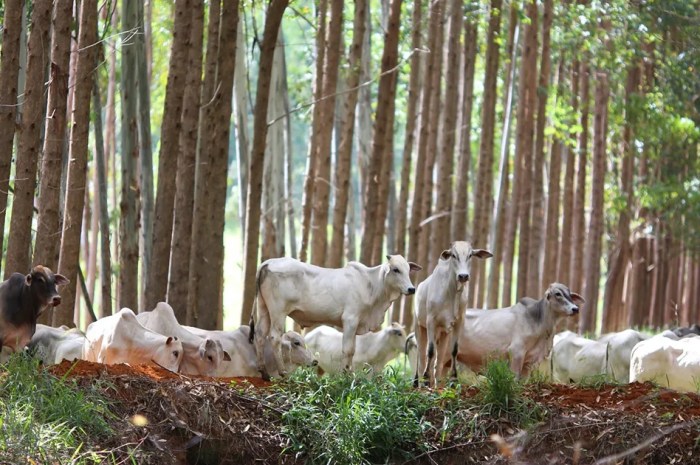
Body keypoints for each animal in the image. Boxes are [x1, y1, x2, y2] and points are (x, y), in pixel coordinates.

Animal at [253, 256, 422, 378]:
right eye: (396, 269)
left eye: (408, 270)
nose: (411, 289)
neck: (371, 285)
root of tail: (267, 263)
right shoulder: (350, 319)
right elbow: (347, 350)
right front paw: (345, 375)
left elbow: (352, 350)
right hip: (278, 311)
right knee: (274, 337)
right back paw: (282, 371)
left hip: (264, 309)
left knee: (260, 335)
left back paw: (264, 371)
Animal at [410, 241, 492, 386]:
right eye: (454, 255)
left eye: (470, 255)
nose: (463, 276)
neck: (451, 293)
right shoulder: (431, 322)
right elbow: (430, 351)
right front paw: (426, 378)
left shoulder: (458, 323)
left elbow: (454, 350)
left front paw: (453, 378)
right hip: (419, 327)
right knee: (421, 353)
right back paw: (419, 381)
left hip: (443, 333)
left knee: (439, 357)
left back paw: (436, 381)